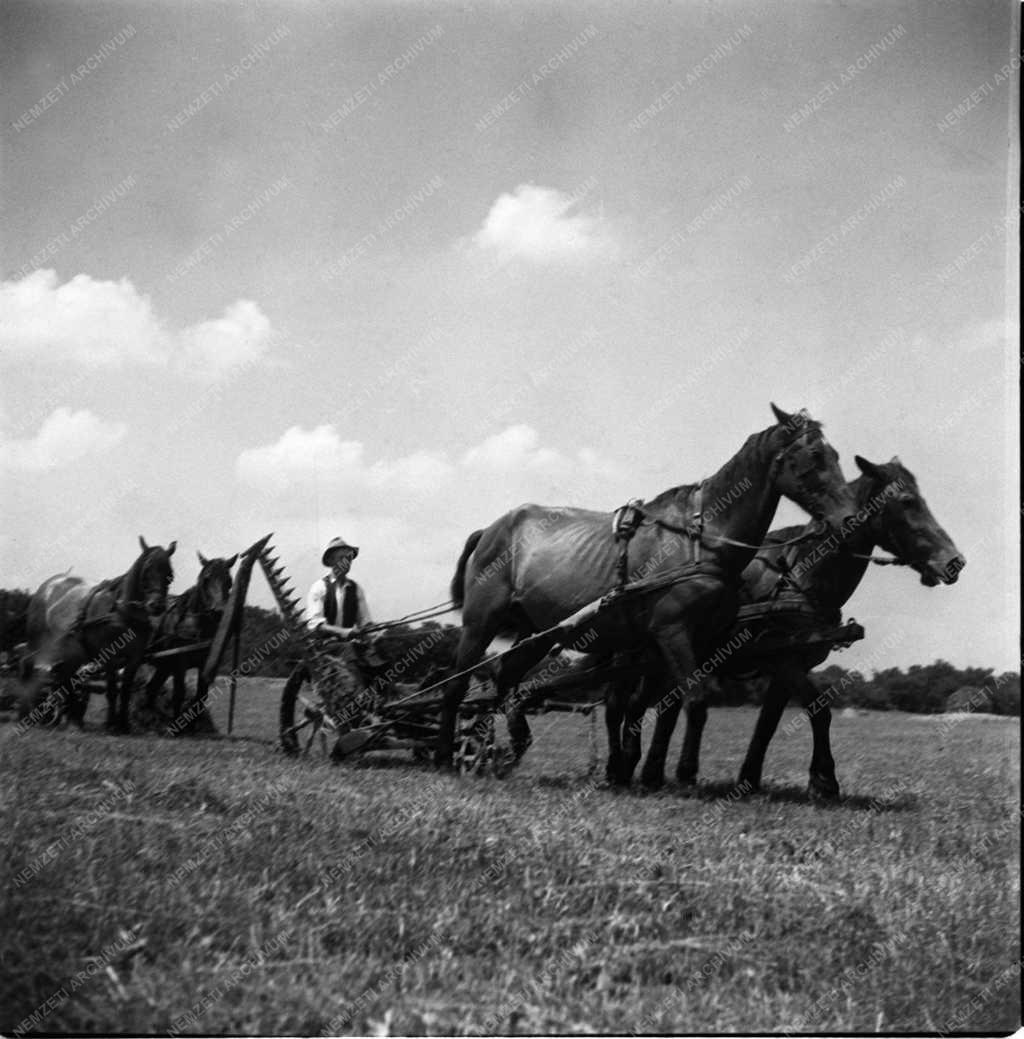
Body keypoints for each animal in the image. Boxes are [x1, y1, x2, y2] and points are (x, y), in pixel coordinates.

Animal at [20, 540, 176, 735]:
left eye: (170, 574)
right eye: (147, 570)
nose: (157, 606)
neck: (123, 613)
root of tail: (47, 587)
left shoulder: (135, 658)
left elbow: (125, 690)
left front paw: (124, 724)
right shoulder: (108, 656)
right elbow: (111, 690)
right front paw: (111, 724)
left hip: (69, 654)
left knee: (64, 680)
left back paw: (72, 721)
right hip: (40, 647)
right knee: (33, 675)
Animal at [142, 552, 236, 723]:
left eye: (229, 581)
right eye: (206, 579)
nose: (218, 611)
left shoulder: (205, 662)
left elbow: (201, 695)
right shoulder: (180, 663)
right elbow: (179, 693)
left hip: (164, 666)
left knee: (151, 689)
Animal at [434, 398, 859, 781]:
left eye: (836, 454)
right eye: (815, 455)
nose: (849, 518)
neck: (703, 538)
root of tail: (490, 529)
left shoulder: (689, 641)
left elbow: (661, 705)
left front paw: (634, 768)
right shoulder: (672, 632)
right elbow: (694, 700)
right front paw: (682, 772)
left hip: (536, 632)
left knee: (506, 682)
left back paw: (506, 751)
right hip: (480, 623)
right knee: (457, 687)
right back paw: (444, 757)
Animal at [635, 450, 963, 797]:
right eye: (907, 501)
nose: (954, 562)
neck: (799, 575)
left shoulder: (789, 668)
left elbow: (767, 724)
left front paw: (749, 780)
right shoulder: (787, 661)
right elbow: (820, 709)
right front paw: (824, 780)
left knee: (659, 706)